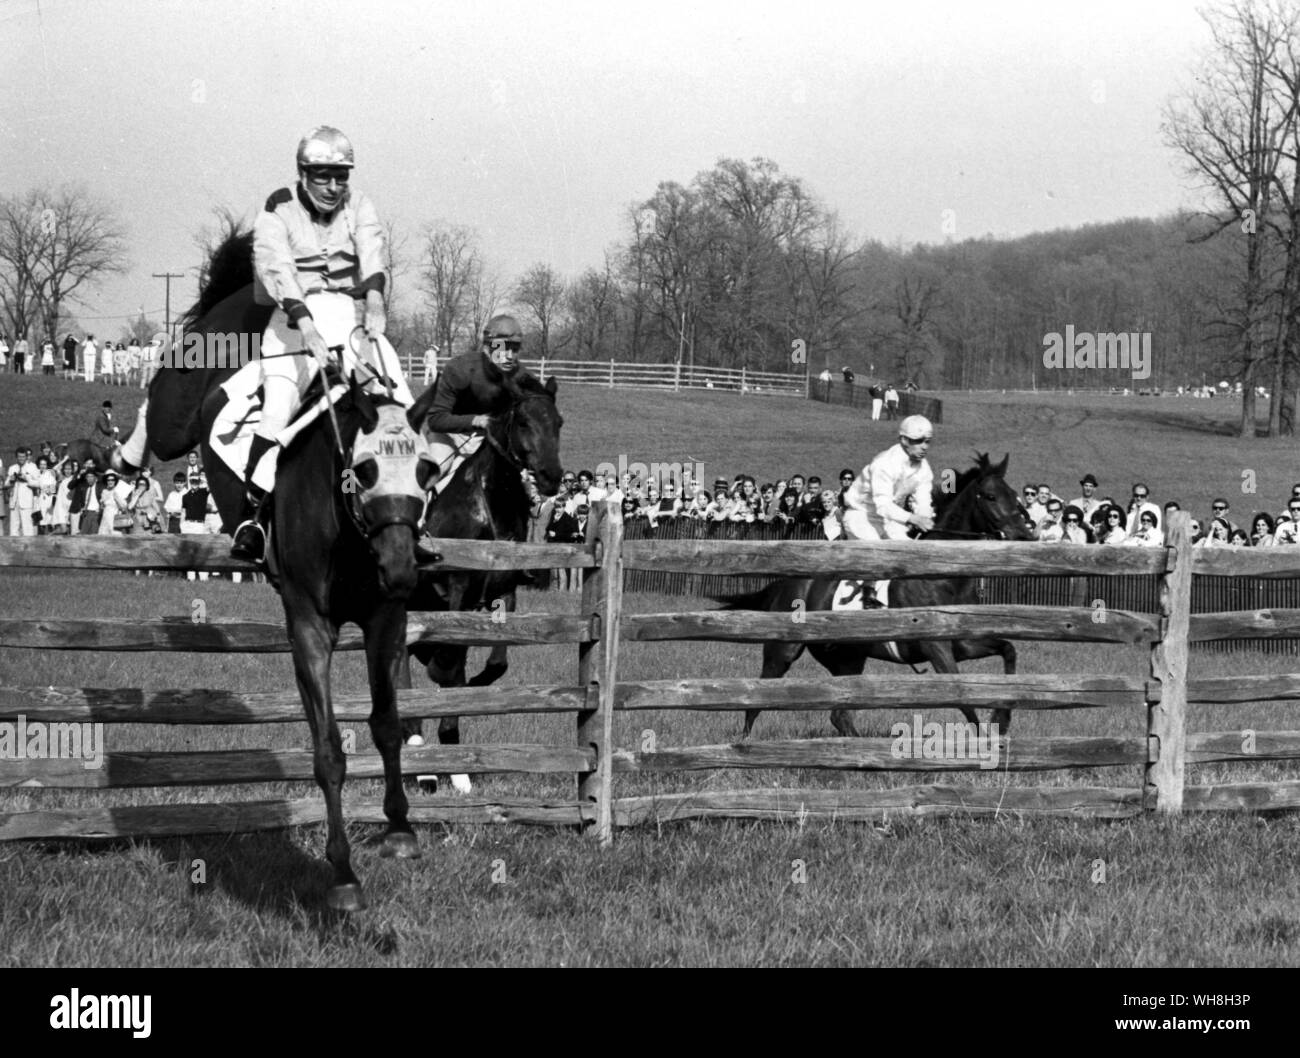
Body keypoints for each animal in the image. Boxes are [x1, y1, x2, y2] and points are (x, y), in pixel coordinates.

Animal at [717, 454, 1029, 738]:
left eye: (1014, 495)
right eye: (991, 496)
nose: (1024, 534)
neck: (942, 578)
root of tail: (785, 583)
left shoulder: (962, 643)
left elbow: (1008, 649)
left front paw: (1002, 719)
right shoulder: (935, 647)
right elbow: (963, 695)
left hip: (847, 658)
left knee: (840, 714)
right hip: (783, 651)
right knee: (758, 698)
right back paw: (744, 744)